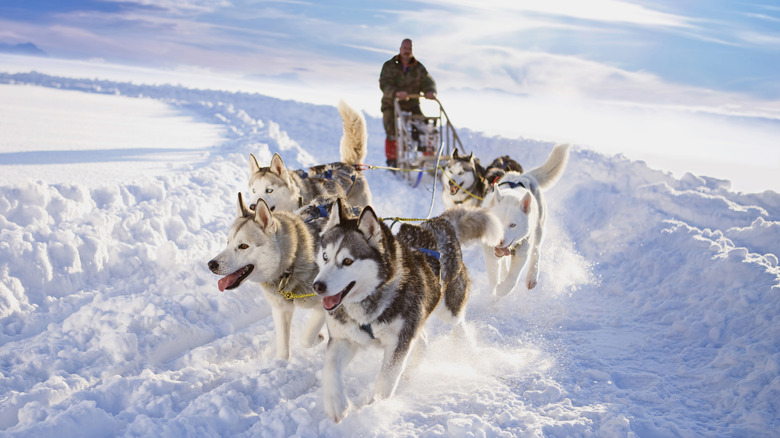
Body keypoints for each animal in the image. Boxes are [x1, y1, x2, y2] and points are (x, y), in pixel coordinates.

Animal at [206, 194, 324, 360]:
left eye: (243, 246)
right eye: (228, 242)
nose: (211, 264)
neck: (291, 265)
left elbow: (306, 339)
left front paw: (319, 337)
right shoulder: (281, 308)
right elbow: (283, 348)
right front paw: (281, 363)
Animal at [310, 198, 500, 420]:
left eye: (347, 261)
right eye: (325, 256)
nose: (317, 286)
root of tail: (439, 223)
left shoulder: (398, 342)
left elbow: (385, 383)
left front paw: (373, 411)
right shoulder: (344, 338)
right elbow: (330, 368)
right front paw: (336, 404)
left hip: (447, 306)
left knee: (458, 322)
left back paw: (462, 346)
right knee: (422, 339)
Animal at [482, 145, 568, 296]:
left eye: (513, 225)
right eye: (496, 221)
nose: (498, 241)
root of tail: (526, 175)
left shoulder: (521, 253)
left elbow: (512, 280)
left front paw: (501, 289)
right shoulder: (489, 250)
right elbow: (493, 275)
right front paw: (494, 289)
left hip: (539, 227)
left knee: (536, 251)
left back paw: (532, 276)